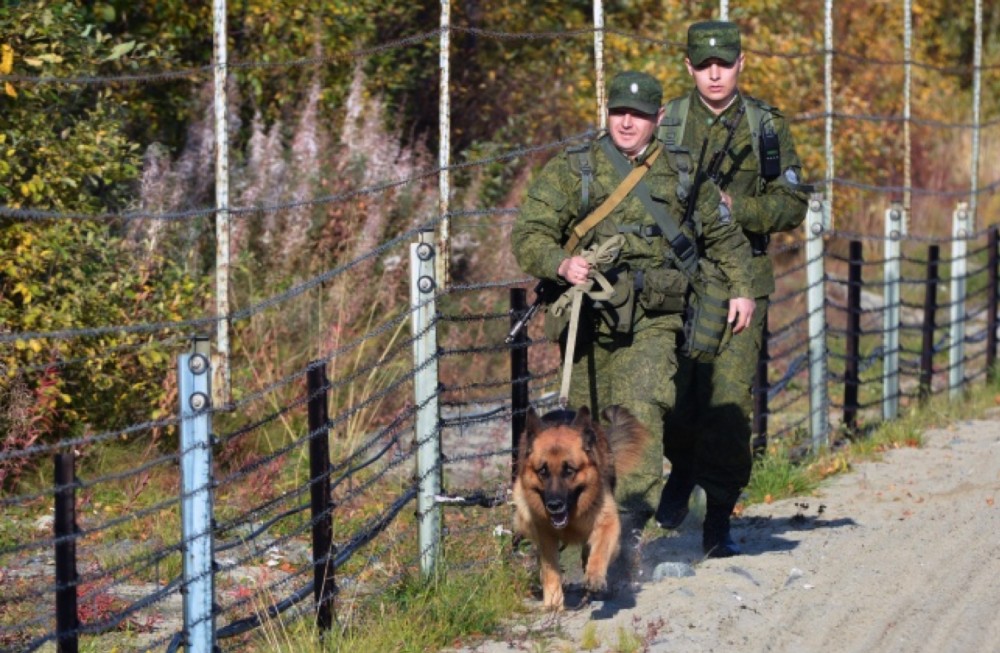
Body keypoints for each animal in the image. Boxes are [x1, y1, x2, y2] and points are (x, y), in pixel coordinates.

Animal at [516, 404, 648, 608]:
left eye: (569, 470)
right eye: (543, 471)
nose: (554, 505)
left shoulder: (607, 523)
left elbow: (599, 551)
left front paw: (594, 577)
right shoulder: (545, 535)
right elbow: (550, 568)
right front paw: (553, 602)